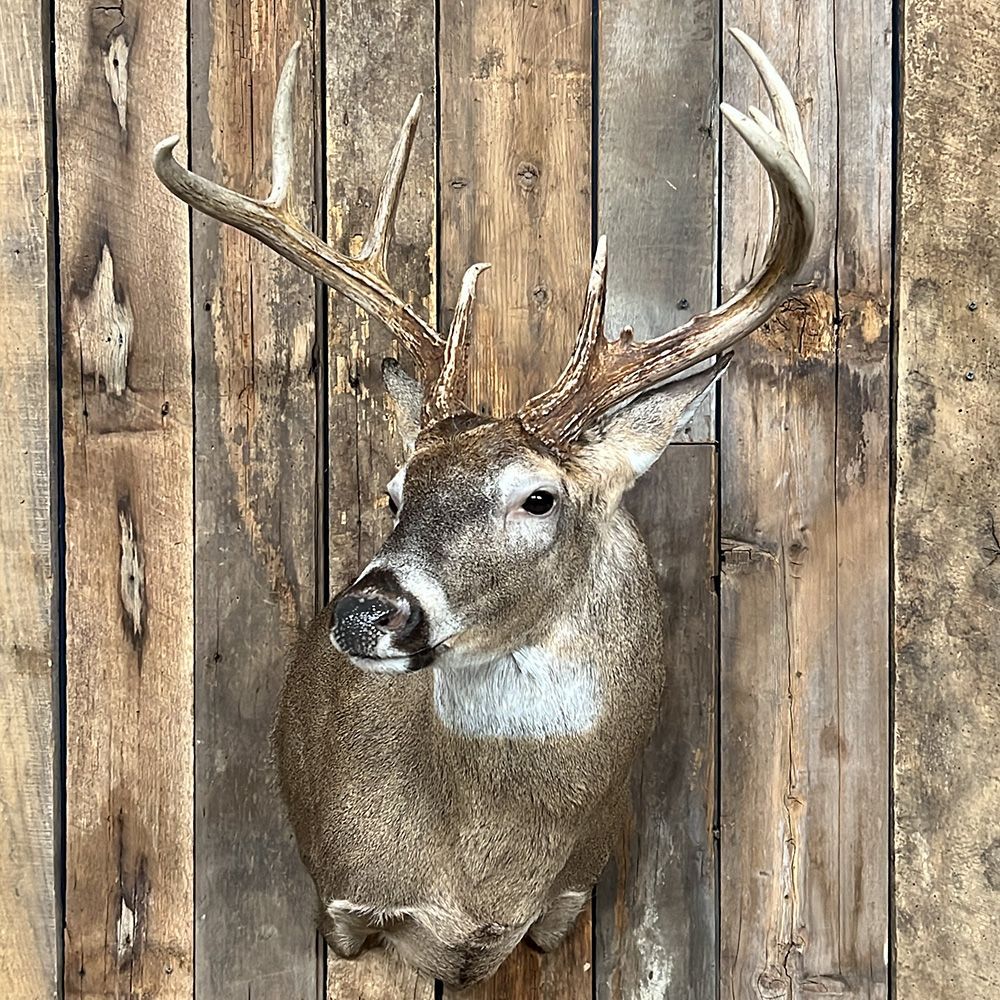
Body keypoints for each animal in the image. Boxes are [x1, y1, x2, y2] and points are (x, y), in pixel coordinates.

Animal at [154, 28, 813, 989]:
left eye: (538, 498)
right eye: (394, 491)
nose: (365, 611)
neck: (481, 878)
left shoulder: (568, 901)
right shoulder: (343, 903)